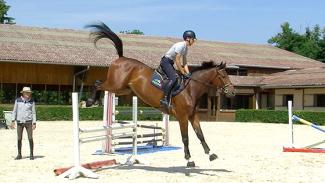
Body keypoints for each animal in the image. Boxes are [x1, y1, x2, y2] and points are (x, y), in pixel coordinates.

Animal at [85, 21, 234, 167]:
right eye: (223, 76)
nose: (232, 92)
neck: (191, 89)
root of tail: (121, 58)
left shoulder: (193, 116)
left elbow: (200, 134)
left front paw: (211, 154)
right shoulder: (182, 117)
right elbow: (185, 137)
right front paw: (189, 160)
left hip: (123, 89)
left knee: (101, 85)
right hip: (115, 84)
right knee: (97, 84)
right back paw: (90, 102)